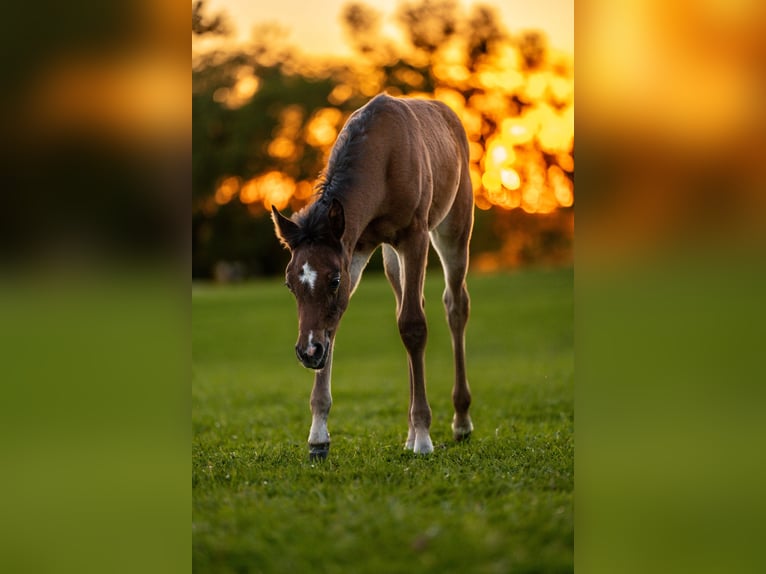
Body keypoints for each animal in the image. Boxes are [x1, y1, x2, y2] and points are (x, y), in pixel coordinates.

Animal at [271, 93, 474, 458]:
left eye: (333, 280)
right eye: (289, 284)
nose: (307, 353)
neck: (383, 159)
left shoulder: (414, 236)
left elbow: (414, 326)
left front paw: (425, 437)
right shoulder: (355, 247)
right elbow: (333, 327)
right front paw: (318, 436)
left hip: (454, 227)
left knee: (455, 305)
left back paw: (460, 422)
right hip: (391, 256)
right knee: (409, 303)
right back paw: (409, 434)